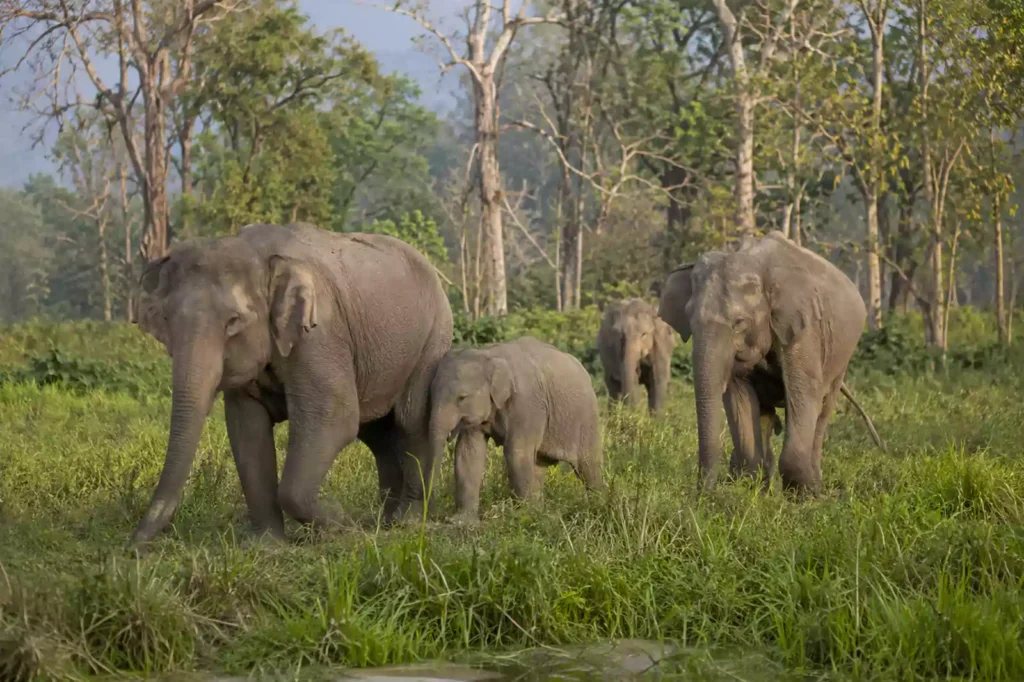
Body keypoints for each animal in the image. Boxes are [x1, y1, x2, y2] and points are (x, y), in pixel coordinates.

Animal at [131, 222, 453, 547]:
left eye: (233, 322)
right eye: (166, 319)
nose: (133, 546)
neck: (259, 254)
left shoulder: (319, 333)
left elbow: (333, 417)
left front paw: (341, 525)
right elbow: (247, 429)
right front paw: (267, 546)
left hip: (433, 337)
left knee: (411, 420)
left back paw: (406, 521)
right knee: (377, 434)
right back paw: (384, 522)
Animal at [428, 336, 606, 523]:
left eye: (462, 398)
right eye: (430, 394)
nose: (433, 513)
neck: (488, 354)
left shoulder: (527, 403)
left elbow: (516, 452)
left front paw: (523, 517)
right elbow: (468, 452)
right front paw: (461, 521)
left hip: (586, 417)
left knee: (589, 464)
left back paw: (598, 506)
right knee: (538, 466)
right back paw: (540, 511)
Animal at [657, 230, 884, 495]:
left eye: (739, 322)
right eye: (689, 318)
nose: (703, 496)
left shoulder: (804, 328)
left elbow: (803, 390)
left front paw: (803, 495)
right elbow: (738, 393)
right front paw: (748, 488)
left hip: (841, 359)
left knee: (824, 410)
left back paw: (816, 485)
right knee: (765, 413)